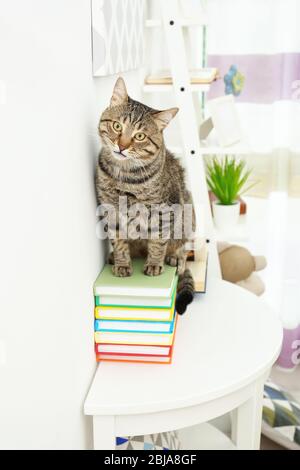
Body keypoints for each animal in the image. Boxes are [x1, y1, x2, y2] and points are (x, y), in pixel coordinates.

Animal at [95, 78, 196, 316]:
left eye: (139, 136)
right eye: (117, 126)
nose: (121, 146)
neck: (123, 176)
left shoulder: (164, 211)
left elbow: (158, 241)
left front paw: (155, 263)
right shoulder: (110, 211)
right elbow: (119, 242)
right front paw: (122, 263)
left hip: (188, 213)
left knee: (181, 247)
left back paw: (174, 257)